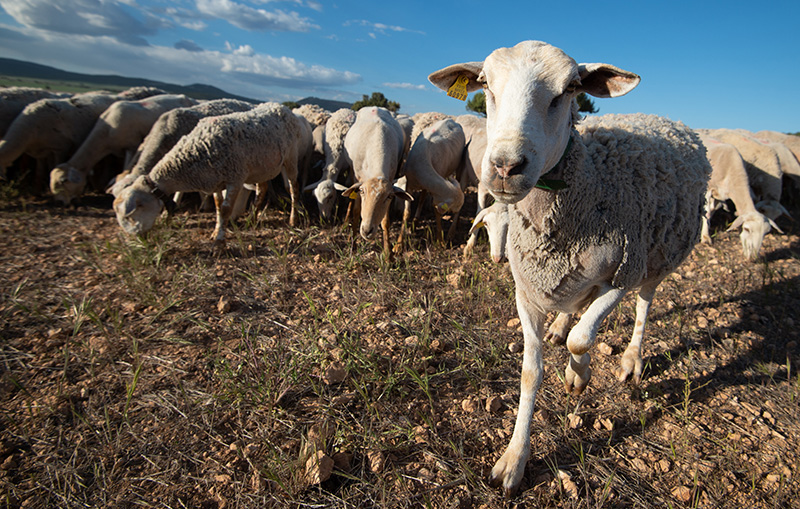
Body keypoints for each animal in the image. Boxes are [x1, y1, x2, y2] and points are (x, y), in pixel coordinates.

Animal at [115, 102, 306, 243]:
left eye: (129, 216)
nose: (139, 240)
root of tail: (281, 107)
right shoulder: (214, 182)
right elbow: (218, 207)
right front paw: (215, 232)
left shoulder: (235, 178)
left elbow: (226, 209)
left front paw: (219, 241)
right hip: (262, 166)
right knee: (262, 189)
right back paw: (252, 219)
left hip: (290, 158)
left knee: (293, 188)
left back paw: (293, 219)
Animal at [340, 107, 412, 258]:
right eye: (362, 191)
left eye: (389, 196)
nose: (367, 231)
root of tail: (375, 107)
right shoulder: (358, 179)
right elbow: (357, 210)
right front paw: (353, 246)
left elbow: (385, 221)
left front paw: (388, 254)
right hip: (351, 170)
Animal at [396, 117, 468, 248]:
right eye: (453, 208)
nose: (457, 212)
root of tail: (450, 119)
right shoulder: (409, 185)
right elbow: (407, 212)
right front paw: (398, 245)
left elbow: (435, 210)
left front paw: (440, 239)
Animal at [428, 40, 708, 496]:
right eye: (485, 84)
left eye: (571, 88)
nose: (505, 166)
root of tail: (671, 120)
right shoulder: (525, 290)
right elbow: (530, 372)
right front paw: (514, 460)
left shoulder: (621, 275)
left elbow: (583, 339)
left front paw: (578, 376)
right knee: (576, 306)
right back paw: (560, 326)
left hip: (657, 256)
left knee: (644, 304)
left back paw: (630, 359)